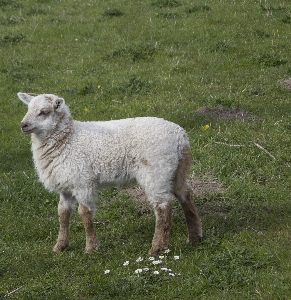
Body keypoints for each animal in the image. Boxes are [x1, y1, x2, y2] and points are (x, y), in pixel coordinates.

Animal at [18, 92, 203, 254]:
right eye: (28, 109)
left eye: (44, 112)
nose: (23, 125)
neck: (67, 139)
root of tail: (180, 136)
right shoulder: (66, 185)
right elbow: (62, 214)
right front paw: (60, 246)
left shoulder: (83, 182)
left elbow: (84, 214)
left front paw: (91, 248)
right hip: (177, 169)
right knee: (186, 195)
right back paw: (194, 237)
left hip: (156, 171)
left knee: (163, 208)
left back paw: (157, 248)